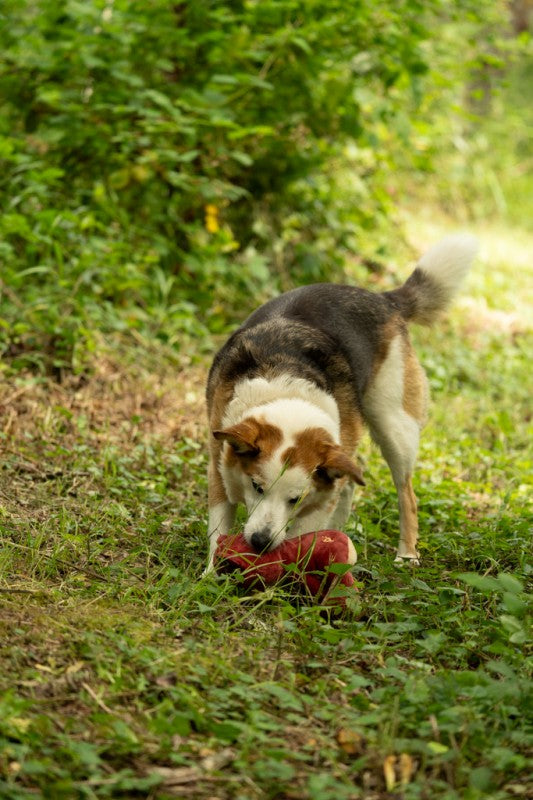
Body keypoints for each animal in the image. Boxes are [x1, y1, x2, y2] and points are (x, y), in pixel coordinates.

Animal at [205, 234, 478, 572]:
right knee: (349, 483)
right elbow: (219, 529)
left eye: (295, 499)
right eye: (256, 486)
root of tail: (385, 300)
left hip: (393, 426)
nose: (260, 543)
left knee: (407, 494)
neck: (288, 389)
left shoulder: (318, 496)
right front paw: (210, 574)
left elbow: (303, 534)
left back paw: (406, 554)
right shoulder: (219, 463)